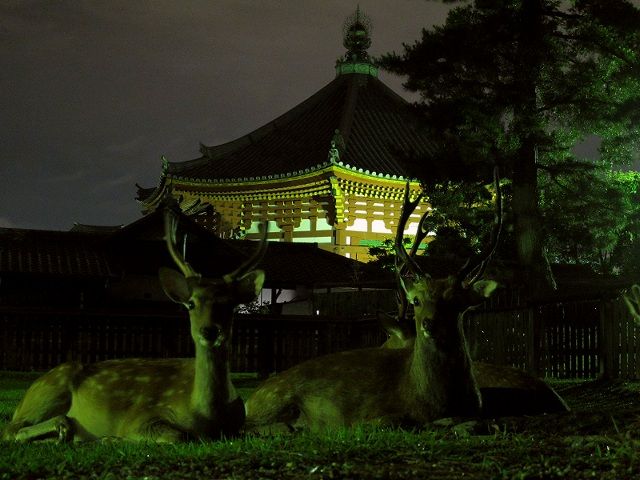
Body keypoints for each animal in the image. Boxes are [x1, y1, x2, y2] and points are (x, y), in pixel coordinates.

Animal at [2, 208, 268, 440]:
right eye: (191, 303)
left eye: (230, 304)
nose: (210, 331)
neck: (208, 416)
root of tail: (21, 401)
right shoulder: (140, 417)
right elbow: (177, 436)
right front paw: (112, 439)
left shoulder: (239, 426)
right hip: (50, 389)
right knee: (11, 429)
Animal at [242, 169, 508, 432]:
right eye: (417, 300)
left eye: (456, 301)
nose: (429, 324)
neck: (429, 398)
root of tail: (250, 398)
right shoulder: (370, 414)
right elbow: (396, 421)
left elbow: (487, 422)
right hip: (276, 399)